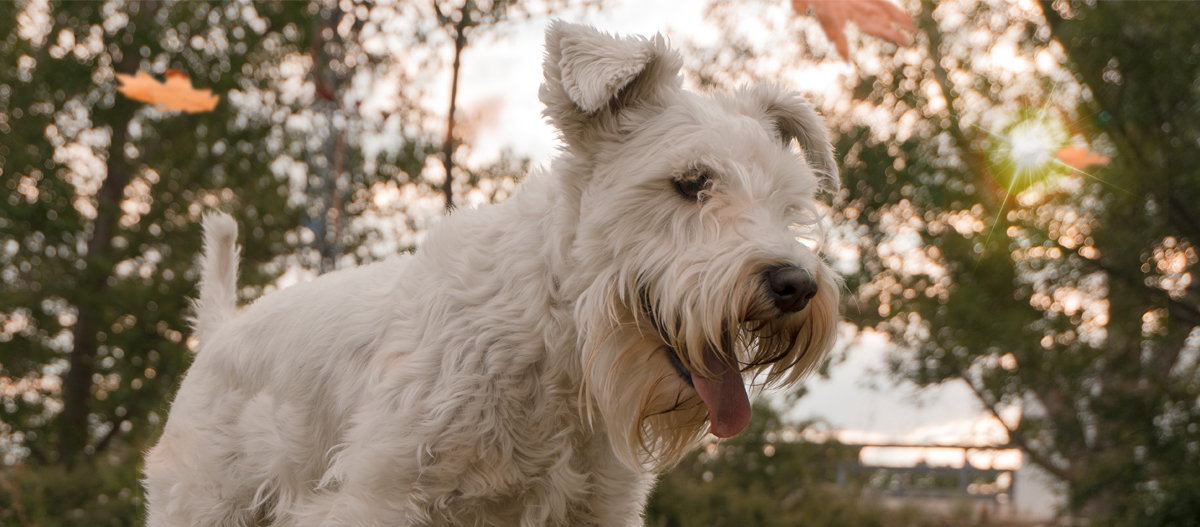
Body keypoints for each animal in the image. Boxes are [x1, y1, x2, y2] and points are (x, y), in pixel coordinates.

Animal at [145, 21, 840, 527]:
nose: (795, 285)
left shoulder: (594, 509)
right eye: (692, 181)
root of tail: (221, 331)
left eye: (789, 204)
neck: (557, 342)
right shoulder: (378, 496)